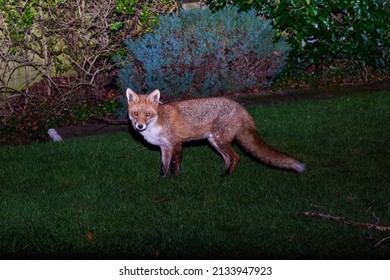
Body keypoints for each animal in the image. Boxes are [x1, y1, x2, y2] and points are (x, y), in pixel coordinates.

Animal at [125, 88, 304, 177]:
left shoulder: (176, 143)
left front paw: (174, 181)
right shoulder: (164, 148)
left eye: (148, 114)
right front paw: (162, 181)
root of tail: (241, 108)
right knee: (227, 158)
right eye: (135, 113)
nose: (139, 126)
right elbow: (164, 167)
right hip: (214, 141)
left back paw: (226, 176)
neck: (158, 122)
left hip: (220, 140)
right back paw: (222, 174)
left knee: (236, 157)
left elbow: (175, 166)